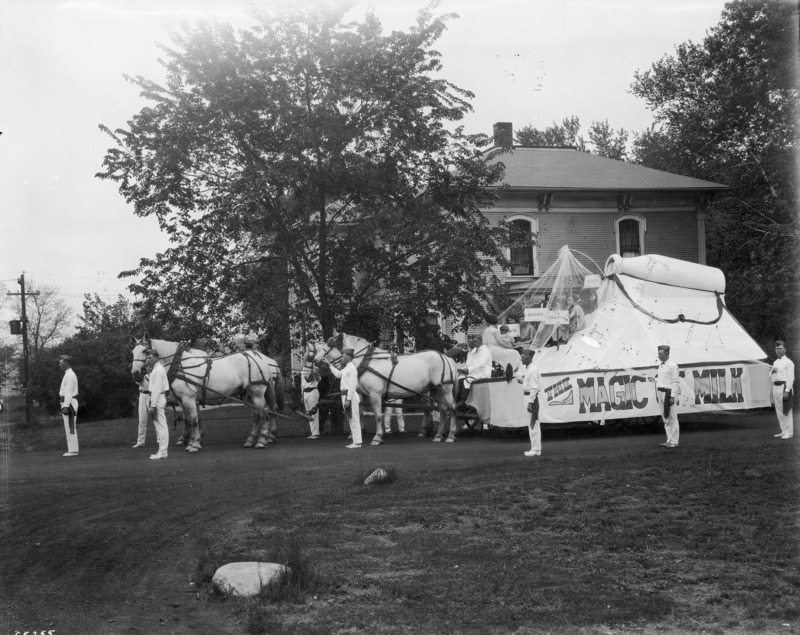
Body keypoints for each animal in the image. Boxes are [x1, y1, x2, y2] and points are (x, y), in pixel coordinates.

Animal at [134, 332, 288, 452]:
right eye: (132, 352)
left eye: (144, 351)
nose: (135, 374)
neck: (179, 365)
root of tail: (261, 359)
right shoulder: (184, 400)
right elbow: (191, 420)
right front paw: (192, 440)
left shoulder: (188, 398)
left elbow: (193, 419)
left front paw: (194, 444)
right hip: (248, 394)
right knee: (257, 416)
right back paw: (251, 440)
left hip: (257, 393)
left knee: (267, 412)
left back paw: (262, 440)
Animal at [314, 336, 462, 444]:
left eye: (329, 344)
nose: (316, 360)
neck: (367, 361)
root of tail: (446, 357)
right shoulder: (367, 395)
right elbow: (368, 412)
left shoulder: (375, 394)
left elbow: (378, 414)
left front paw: (377, 437)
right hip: (436, 390)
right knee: (442, 410)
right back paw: (438, 435)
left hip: (445, 388)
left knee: (452, 408)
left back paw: (450, 435)